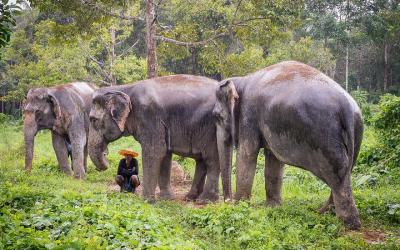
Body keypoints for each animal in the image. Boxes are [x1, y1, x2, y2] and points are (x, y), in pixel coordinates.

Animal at [87, 74, 231, 203]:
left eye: (93, 120)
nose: (105, 154)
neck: (124, 88)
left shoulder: (149, 117)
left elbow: (154, 152)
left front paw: (147, 201)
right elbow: (165, 155)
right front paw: (165, 198)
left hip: (213, 130)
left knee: (211, 159)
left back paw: (205, 201)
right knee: (201, 161)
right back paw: (190, 198)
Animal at [214, 60, 364, 229]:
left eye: (217, 116)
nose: (227, 201)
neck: (241, 80)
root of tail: (347, 107)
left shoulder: (249, 115)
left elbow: (247, 155)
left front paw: (240, 206)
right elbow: (273, 159)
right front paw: (272, 208)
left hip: (326, 136)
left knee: (338, 175)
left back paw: (348, 224)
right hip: (357, 130)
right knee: (347, 171)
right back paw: (324, 212)